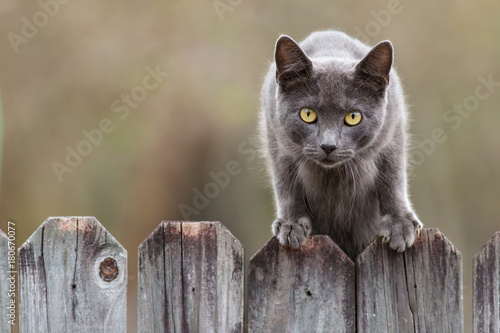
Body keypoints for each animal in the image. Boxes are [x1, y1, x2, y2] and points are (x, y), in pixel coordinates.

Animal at [260, 30, 424, 260]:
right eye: (307, 114)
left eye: (353, 117)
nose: (328, 145)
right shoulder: (277, 139)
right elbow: (286, 183)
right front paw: (291, 224)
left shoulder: (392, 132)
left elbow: (393, 176)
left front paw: (399, 223)